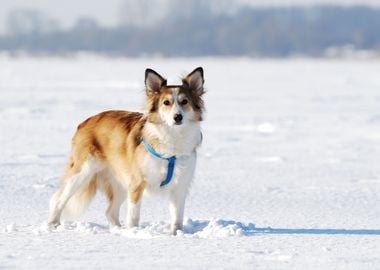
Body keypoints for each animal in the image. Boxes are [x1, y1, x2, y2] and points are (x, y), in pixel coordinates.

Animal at [49, 66, 206, 234]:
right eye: (166, 103)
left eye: (185, 102)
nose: (178, 117)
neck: (172, 138)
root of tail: (86, 121)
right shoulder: (137, 184)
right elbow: (133, 216)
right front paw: (134, 232)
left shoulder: (180, 186)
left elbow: (177, 218)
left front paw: (177, 234)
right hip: (83, 172)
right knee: (58, 200)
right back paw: (53, 225)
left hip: (119, 182)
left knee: (110, 212)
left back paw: (117, 230)